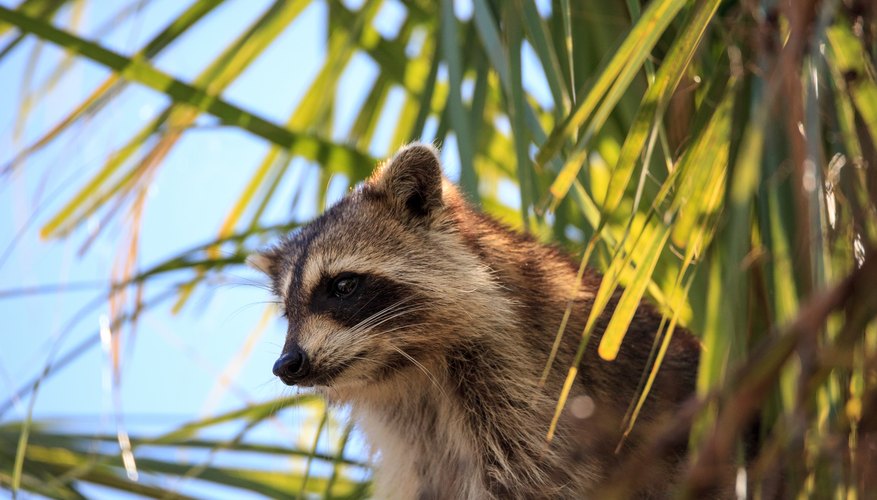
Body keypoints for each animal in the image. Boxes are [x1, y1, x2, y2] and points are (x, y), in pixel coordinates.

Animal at [250, 143, 700, 498]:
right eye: (288, 311)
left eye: (343, 285)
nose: (287, 365)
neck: (409, 368)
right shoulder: (414, 439)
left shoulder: (526, 371)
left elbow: (534, 478)